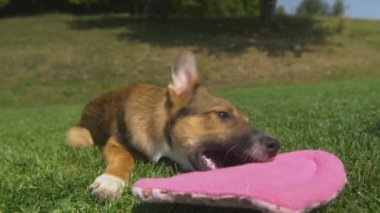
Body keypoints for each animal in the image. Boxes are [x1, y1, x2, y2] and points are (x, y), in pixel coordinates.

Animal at [65, 50, 280, 202]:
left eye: (248, 121)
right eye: (222, 114)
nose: (276, 145)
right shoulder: (116, 143)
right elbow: (124, 158)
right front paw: (110, 182)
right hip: (78, 137)